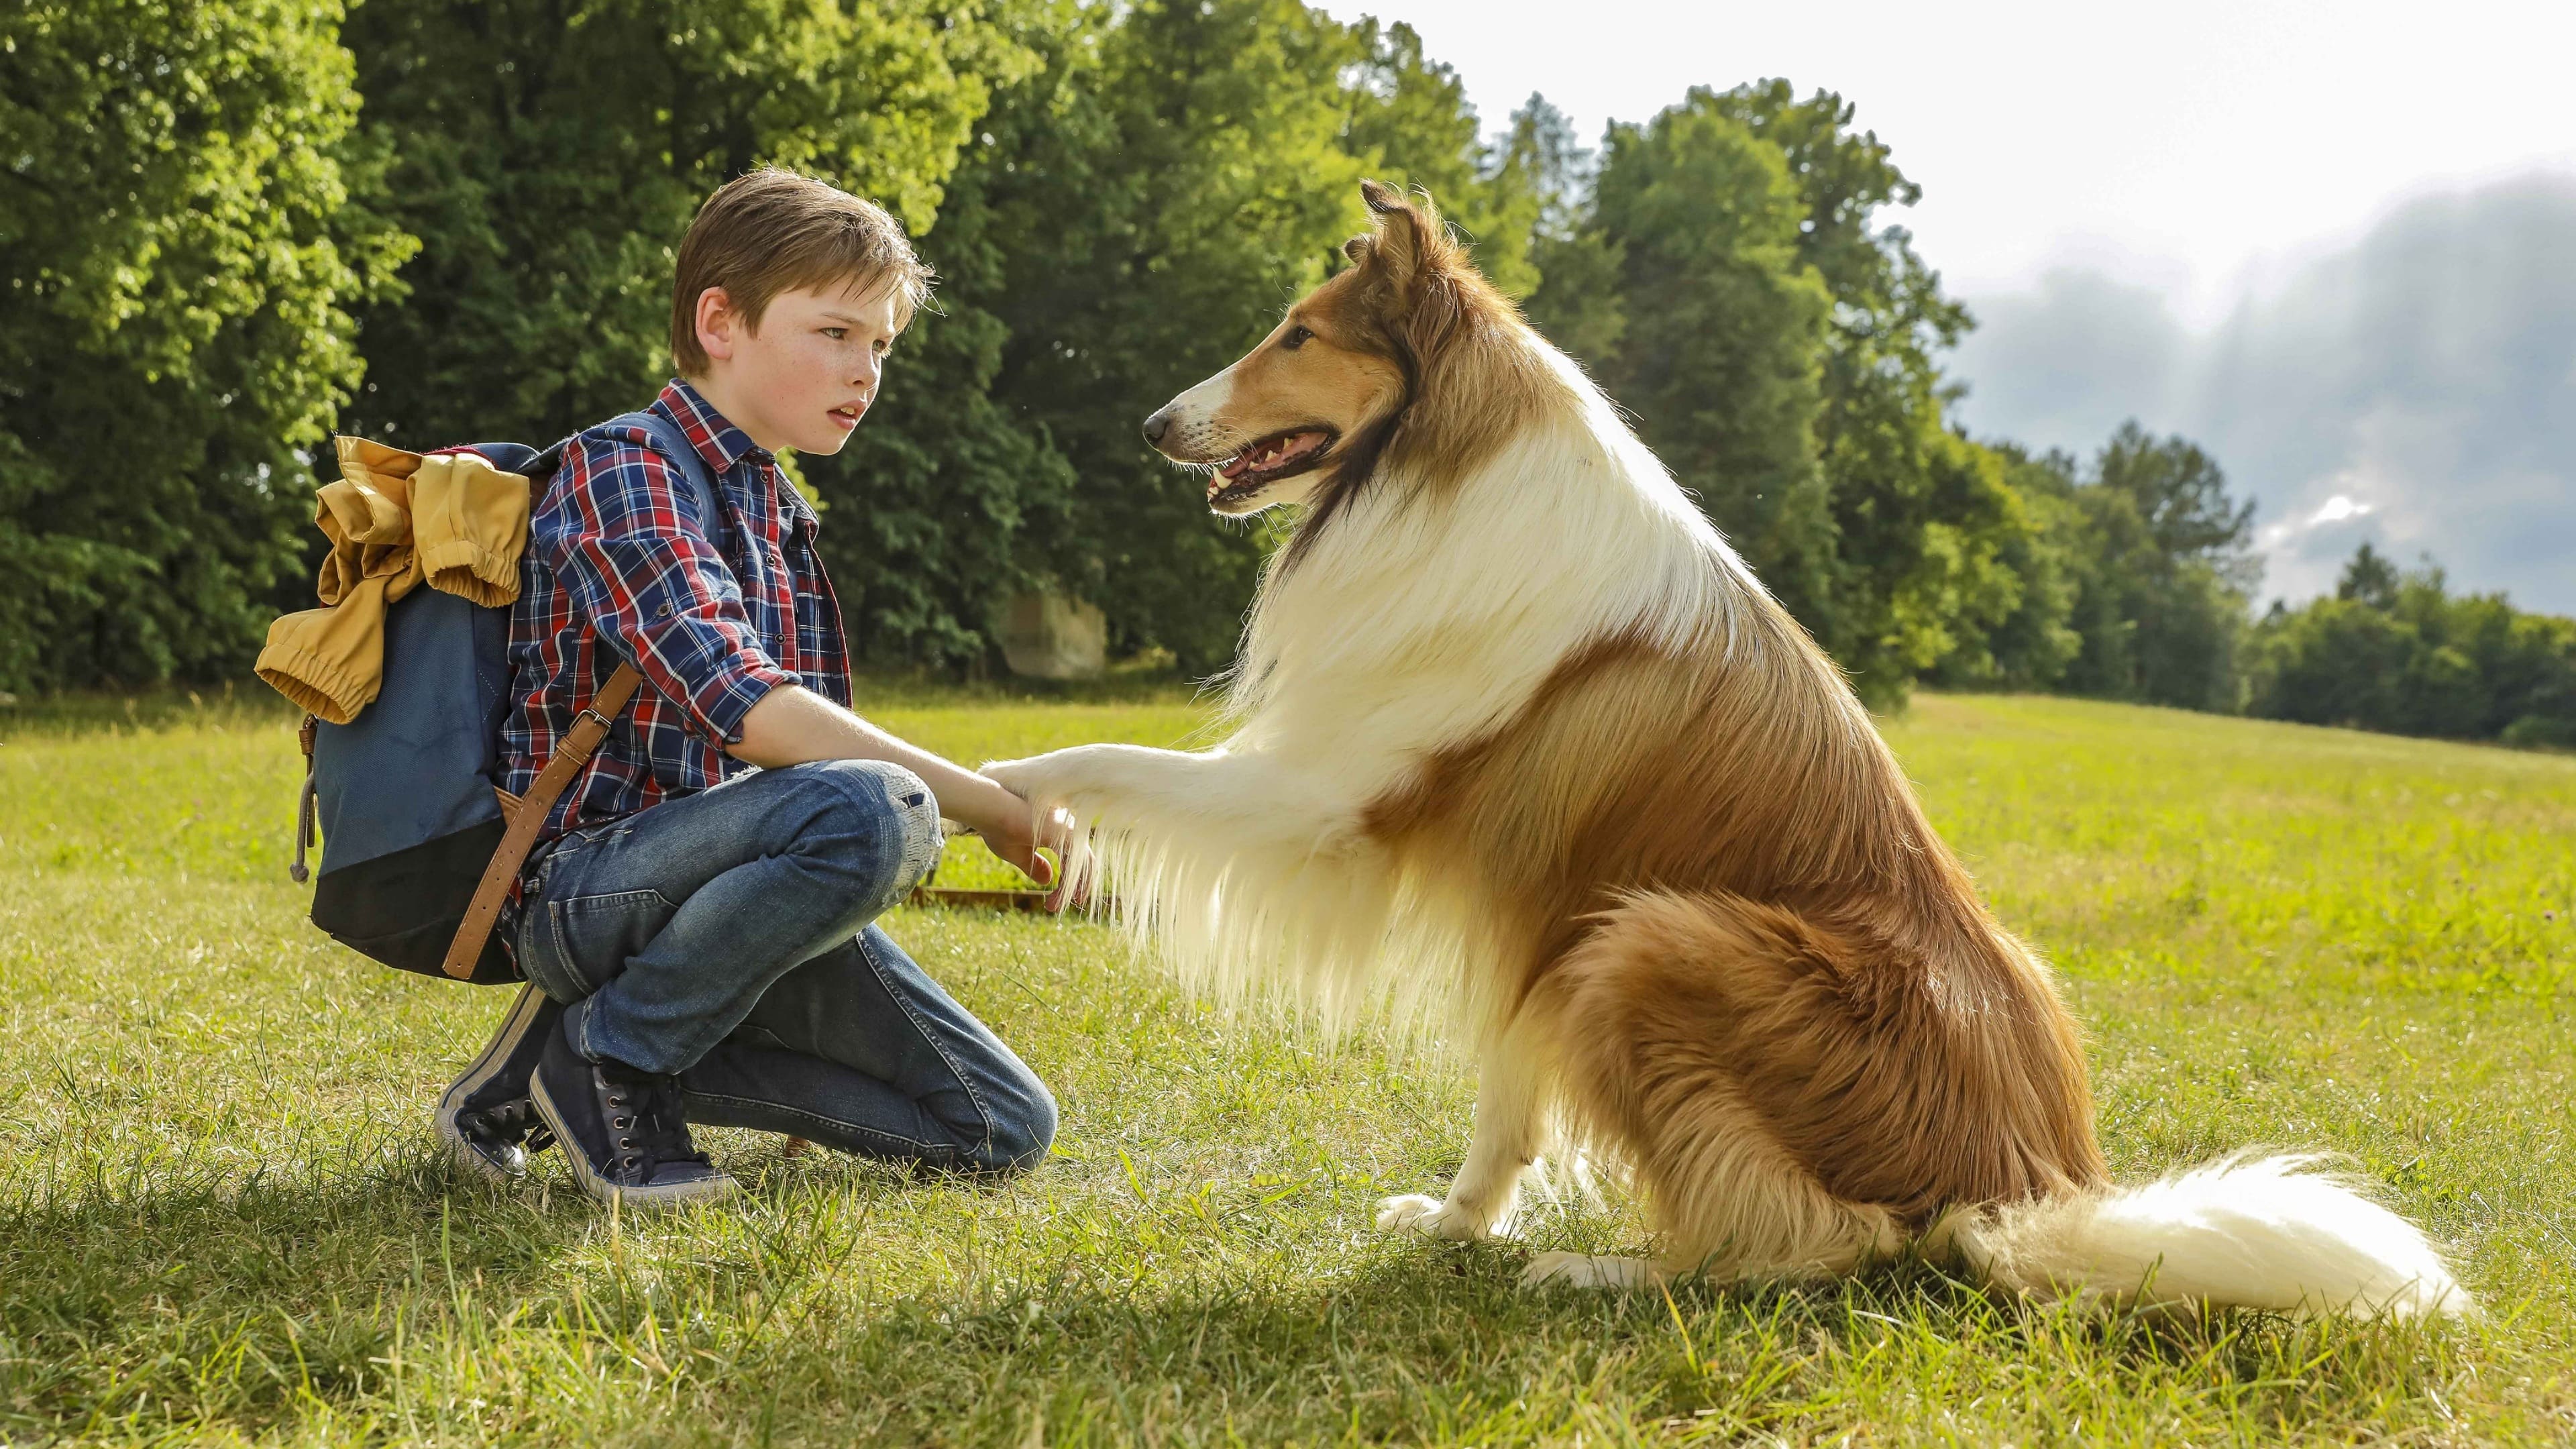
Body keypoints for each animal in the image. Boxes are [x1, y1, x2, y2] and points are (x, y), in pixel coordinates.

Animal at [973, 180, 2463, 1309]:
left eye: (1295, 334)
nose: (1151, 425)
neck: (1443, 470)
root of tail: (2025, 1189)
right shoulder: (1536, 917)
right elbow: (1505, 1105)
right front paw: (1456, 1226)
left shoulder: (1333, 800)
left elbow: (1107, 761)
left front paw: (991, 787)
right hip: (1634, 944)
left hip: (1653, 941)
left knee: (1817, 1246)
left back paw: (1606, 1274)